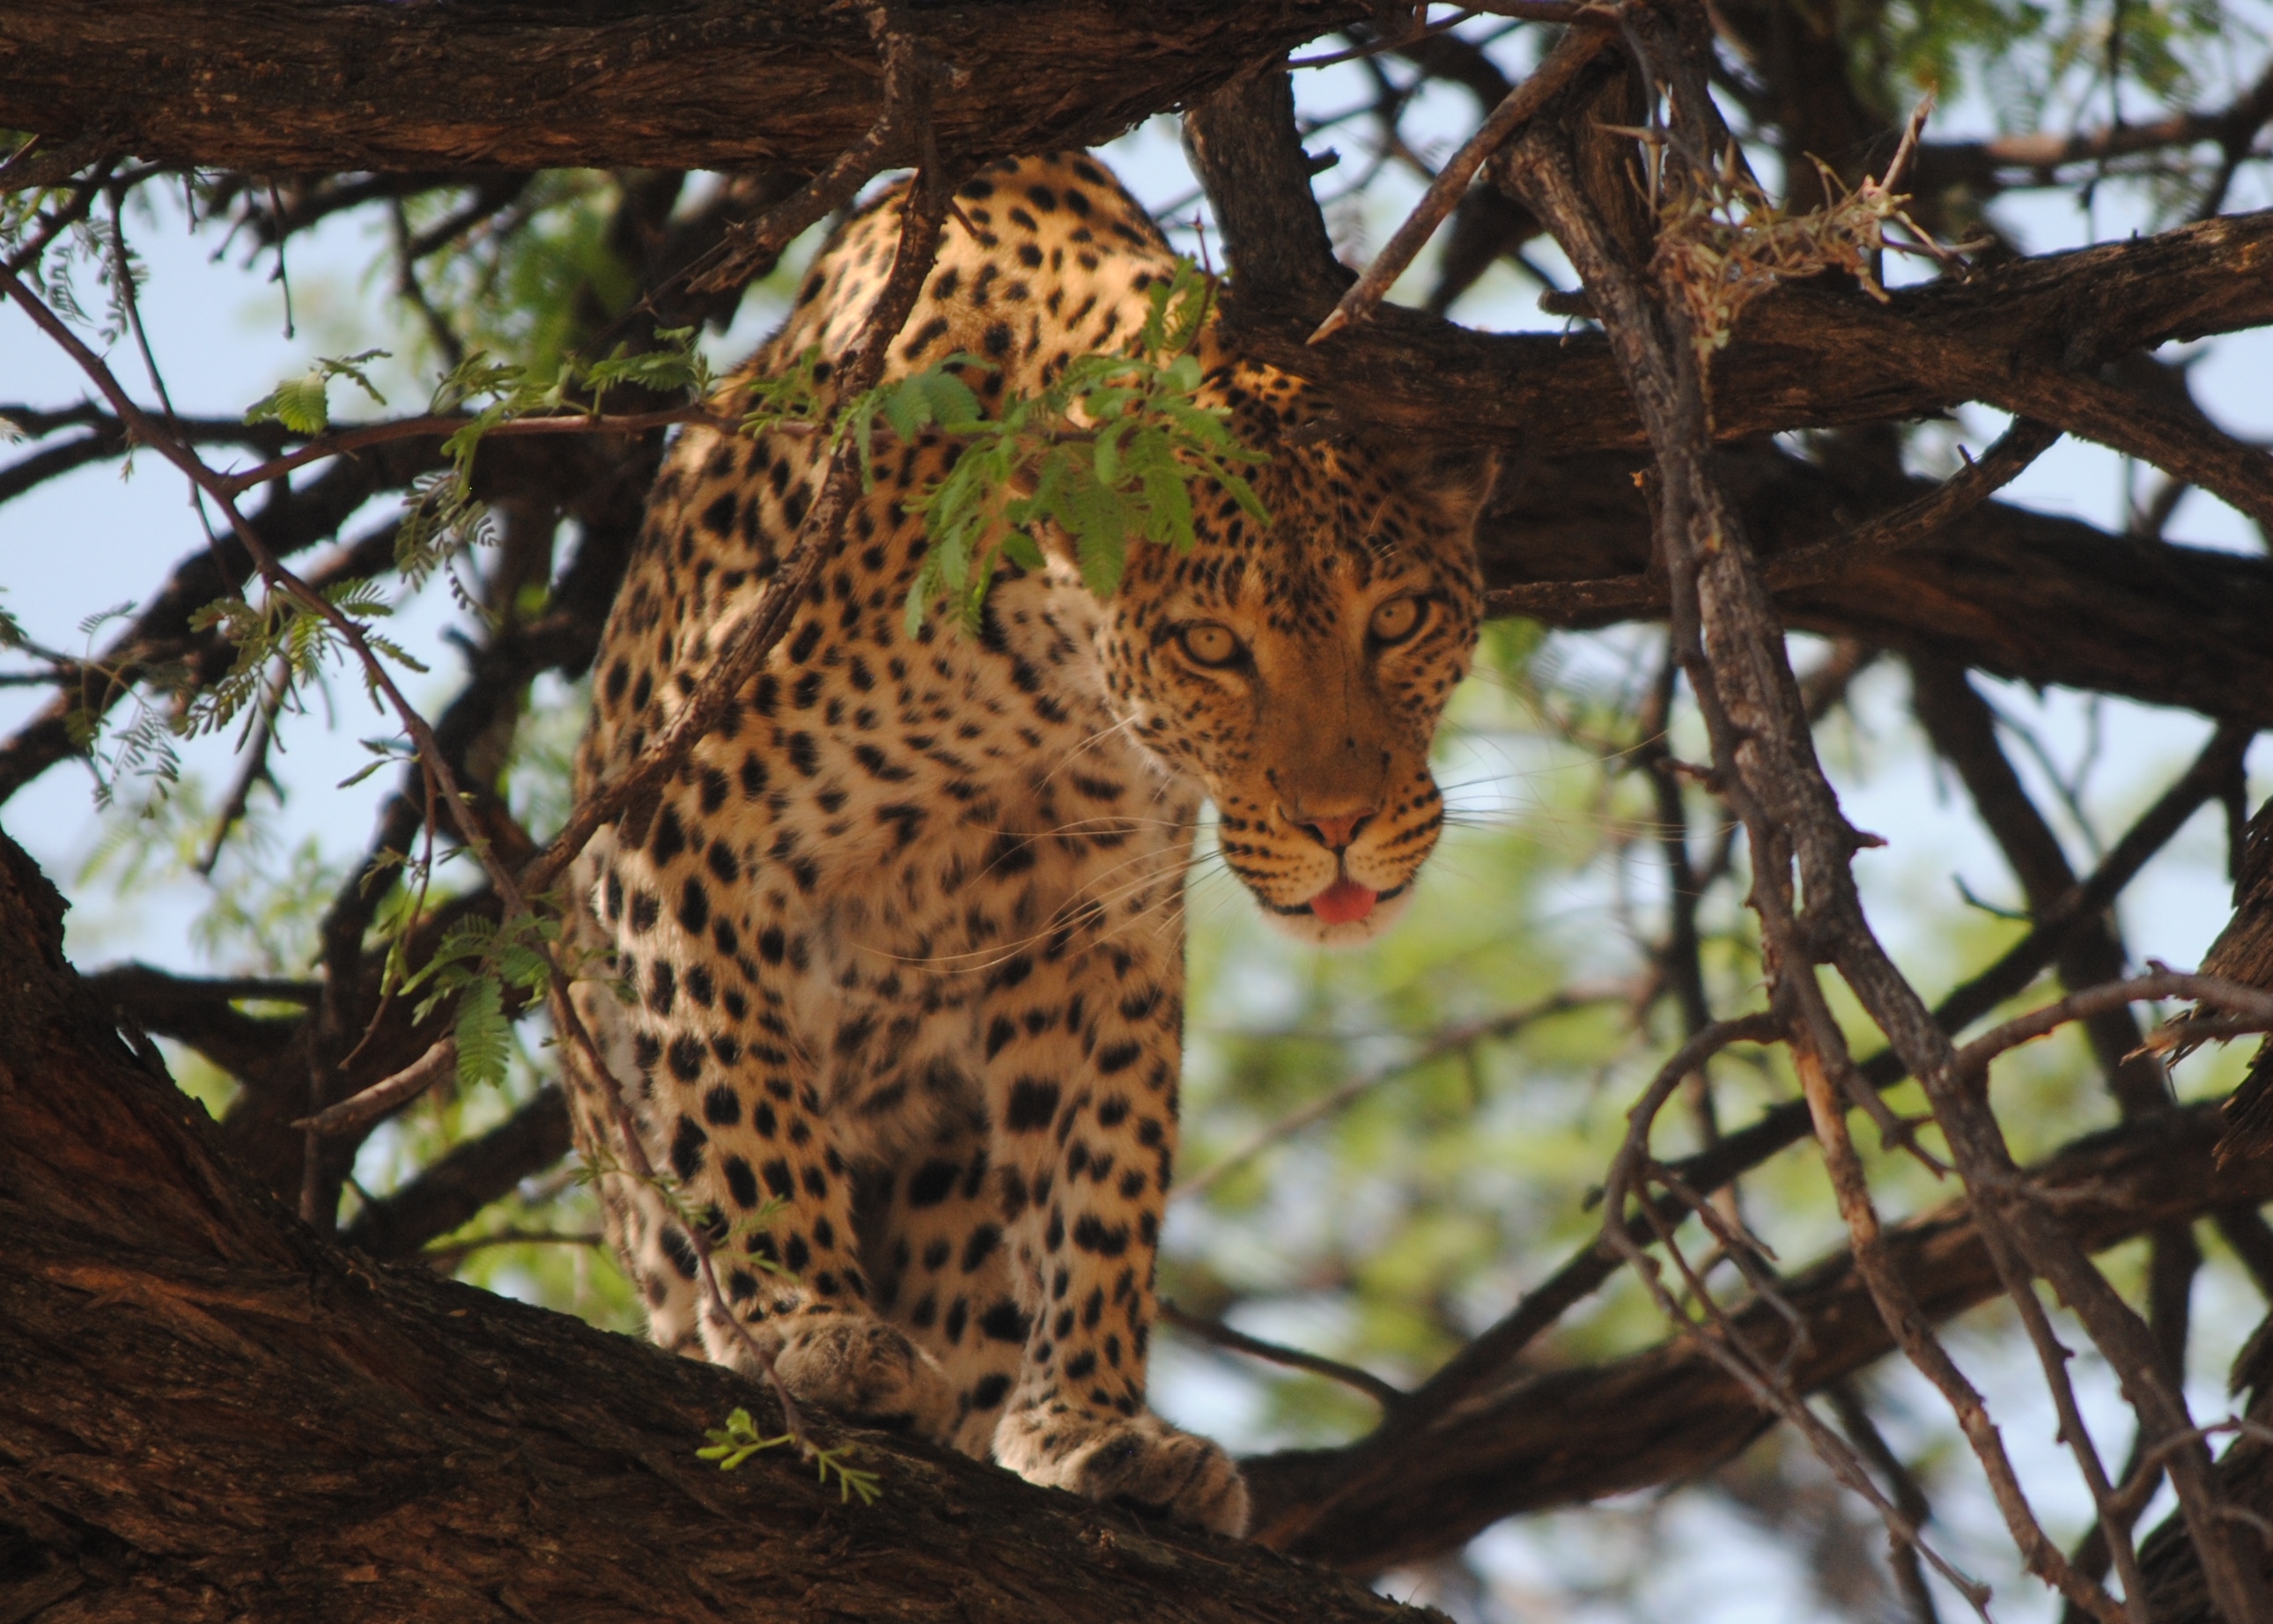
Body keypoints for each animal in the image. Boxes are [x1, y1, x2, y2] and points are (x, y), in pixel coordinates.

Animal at [563, 151, 1496, 1538]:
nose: (1340, 826)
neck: (1039, 682)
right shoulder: (682, 820)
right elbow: (736, 1086)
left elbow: (1097, 1174)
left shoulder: (1095, 918)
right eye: (1212, 646)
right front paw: (808, 1324)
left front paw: (1091, 1426)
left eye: (1397, 620)